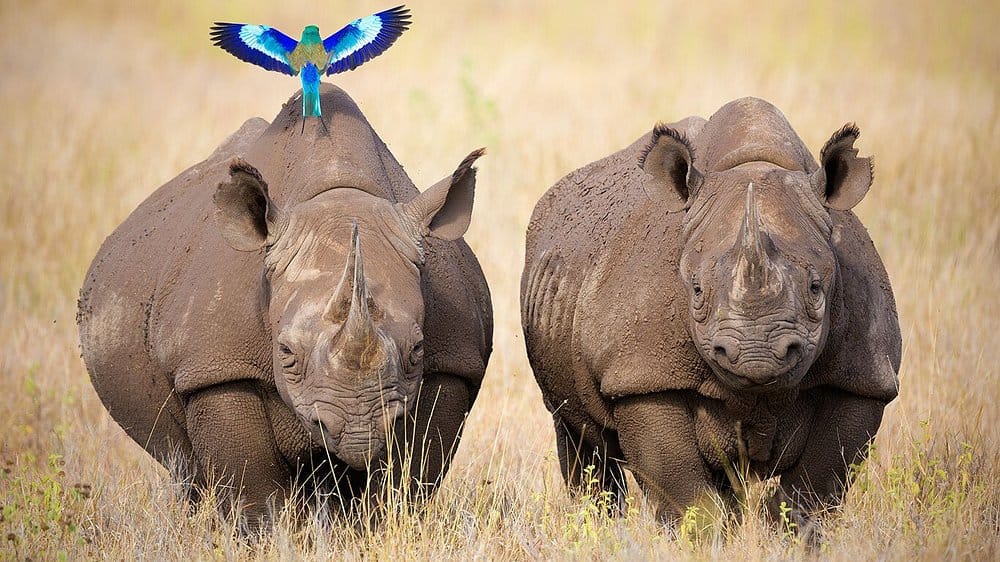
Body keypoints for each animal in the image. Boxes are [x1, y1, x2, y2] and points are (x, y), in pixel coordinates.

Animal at [77, 85, 493, 527]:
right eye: (286, 353)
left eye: (417, 350)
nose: (358, 431)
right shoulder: (216, 367)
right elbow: (251, 487)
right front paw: (270, 534)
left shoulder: (452, 361)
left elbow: (411, 476)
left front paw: (383, 527)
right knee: (185, 465)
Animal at [521, 97, 900, 527]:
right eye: (697, 291)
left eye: (816, 289)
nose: (756, 356)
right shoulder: (641, 377)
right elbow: (689, 499)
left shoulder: (865, 377)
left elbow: (811, 494)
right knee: (579, 438)